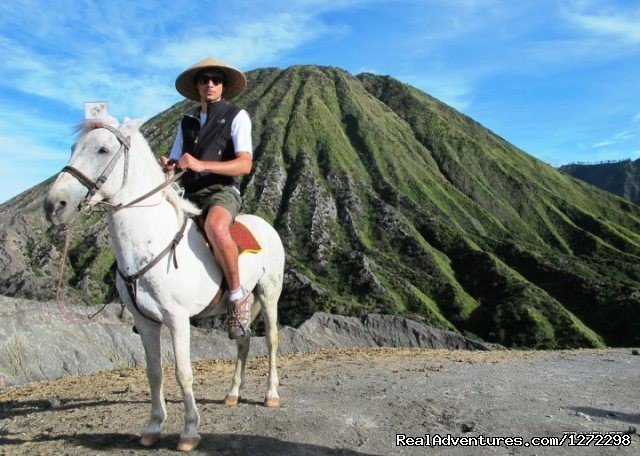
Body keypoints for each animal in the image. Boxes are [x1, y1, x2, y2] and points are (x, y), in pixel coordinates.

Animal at [43, 116, 284, 450]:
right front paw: (153, 426)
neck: (151, 238)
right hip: (241, 303)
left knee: (271, 340)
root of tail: (265, 226)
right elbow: (154, 372)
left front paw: (190, 431)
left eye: (103, 149)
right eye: (73, 148)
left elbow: (183, 373)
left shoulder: (177, 319)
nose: (54, 204)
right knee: (244, 340)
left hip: (269, 293)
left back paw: (271, 395)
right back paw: (233, 393)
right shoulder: (145, 322)